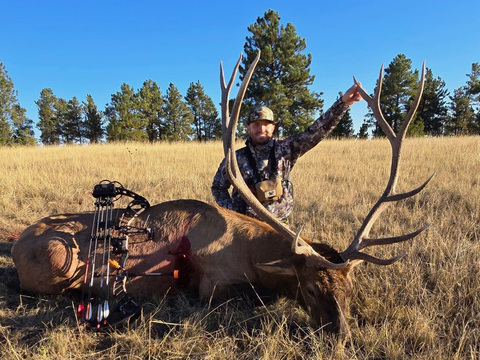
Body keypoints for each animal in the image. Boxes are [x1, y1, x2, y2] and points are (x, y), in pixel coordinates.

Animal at [11, 52, 434, 334]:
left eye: (349, 288)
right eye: (313, 289)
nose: (342, 335)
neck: (249, 250)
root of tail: (14, 246)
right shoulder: (212, 283)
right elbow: (251, 295)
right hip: (58, 258)